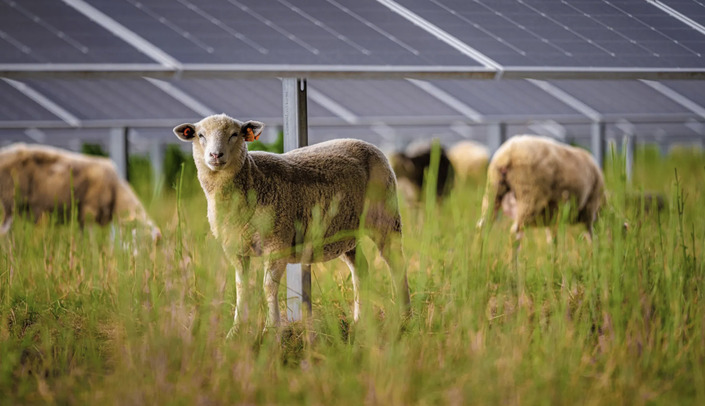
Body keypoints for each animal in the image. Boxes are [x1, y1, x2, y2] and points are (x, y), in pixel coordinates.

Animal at [173, 114, 410, 330]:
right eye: (200, 135)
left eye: (234, 134)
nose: (215, 155)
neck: (253, 178)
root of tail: (366, 143)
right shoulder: (235, 248)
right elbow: (241, 287)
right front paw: (236, 330)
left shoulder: (277, 244)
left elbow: (269, 286)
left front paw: (272, 329)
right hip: (345, 232)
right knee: (361, 269)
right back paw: (359, 320)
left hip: (386, 216)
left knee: (396, 263)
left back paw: (404, 316)